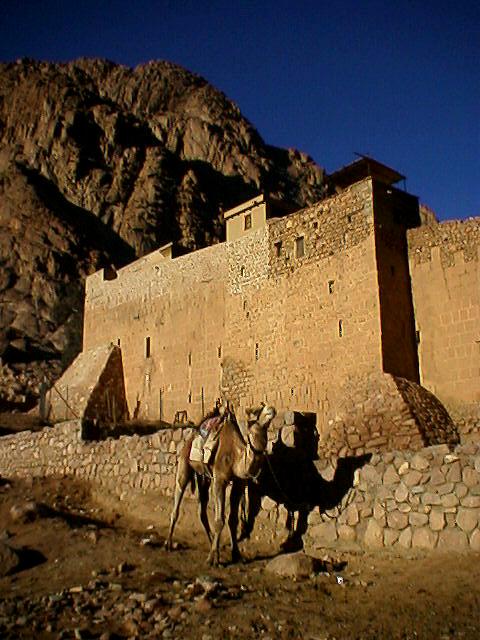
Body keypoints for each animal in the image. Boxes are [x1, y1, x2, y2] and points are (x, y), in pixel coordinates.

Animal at [166, 402, 276, 568]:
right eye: (256, 411)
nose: (271, 409)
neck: (236, 456)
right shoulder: (219, 480)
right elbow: (219, 520)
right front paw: (213, 559)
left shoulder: (238, 483)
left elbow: (233, 520)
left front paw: (236, 555)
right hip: (184, 463)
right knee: (177, 502)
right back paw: (168, 543)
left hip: (203, 477)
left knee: (202, 510)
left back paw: (212, 541)